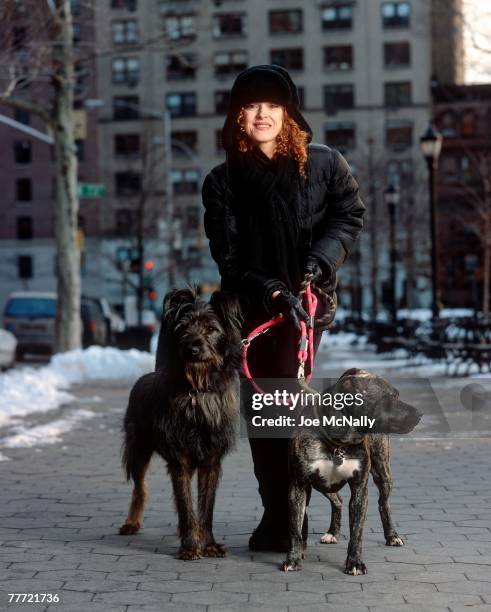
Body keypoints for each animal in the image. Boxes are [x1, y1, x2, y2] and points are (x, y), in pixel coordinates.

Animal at [119, 286, 242, 560]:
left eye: (211, 329)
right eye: (183, 327)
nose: (193, 349)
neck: (197, 391)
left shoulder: (211, 462)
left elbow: (206, 508)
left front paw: (208, 544)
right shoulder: (180, 462)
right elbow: (186, 505)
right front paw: (189, 546)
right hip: (138, 449)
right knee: (140, 487)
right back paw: (132, 522)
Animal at [282, 370, 420, 576]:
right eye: (392, 396)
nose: (420, 414)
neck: (339, 442)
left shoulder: (360, 489)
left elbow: (356, 532)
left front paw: (354, 562)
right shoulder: (298, 487)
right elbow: (295, 530)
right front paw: (293, 559)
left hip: (383, 474)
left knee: (383, 504)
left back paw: (392, 536)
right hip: (321, 484)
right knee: (337, 500)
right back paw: (332, 532)